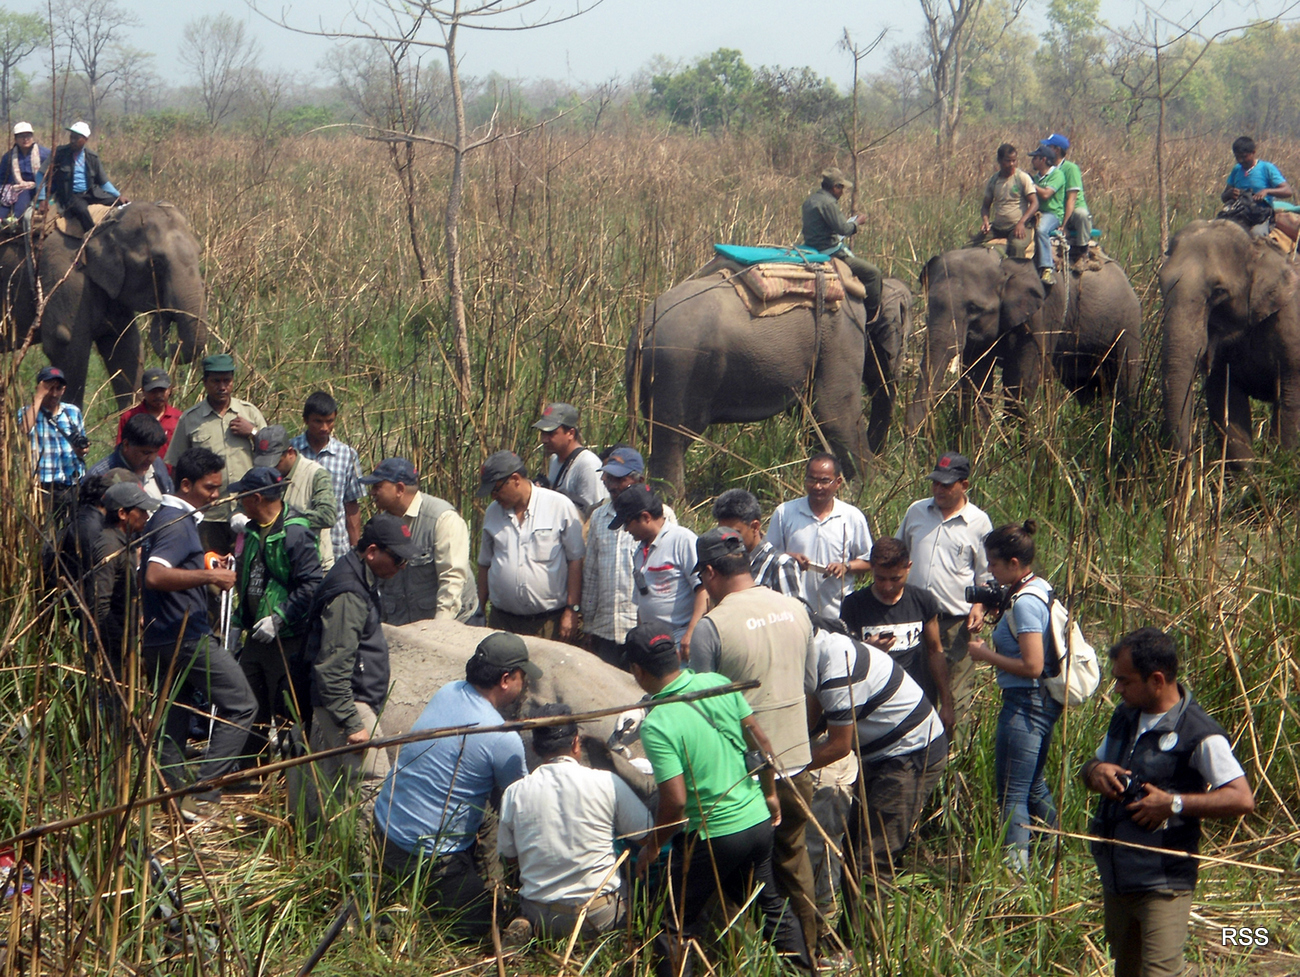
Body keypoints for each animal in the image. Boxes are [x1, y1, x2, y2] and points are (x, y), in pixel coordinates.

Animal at [0, 202, 205, 407]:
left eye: (199, 253)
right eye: (155, 263)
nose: (164, 312)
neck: (105, 222)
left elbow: (125, 346)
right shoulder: (63, 274)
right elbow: (67, 346)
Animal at [624, 275, 909, 491]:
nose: (886, 461)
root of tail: (642, 328)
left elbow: (809, 414)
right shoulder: (841, 335)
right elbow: (835, 413)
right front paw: (870, 489)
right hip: (676, 370)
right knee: (671, 440)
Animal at [904, 244, 1138, 431]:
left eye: (974, 308)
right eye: (930, 304)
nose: (910, 436)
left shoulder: (1039, 317)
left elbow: (1020, 382)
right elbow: (976, 382)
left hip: (1128, 323)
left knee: (1125, 379)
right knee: (1086, 388)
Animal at [1159, 218, 1300, 462]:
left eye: (1219, 292)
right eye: (1160, 281)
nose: (1187, 459)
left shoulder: (1290, 326)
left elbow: (1290, 405)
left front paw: (1280, 463)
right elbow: (1226, 405)